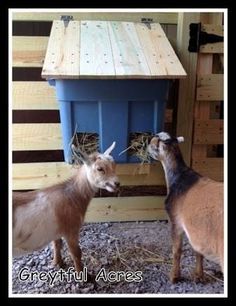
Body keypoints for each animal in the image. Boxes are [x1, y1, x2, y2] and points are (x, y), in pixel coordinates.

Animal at [12, 142, 120, 274]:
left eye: (114, 164)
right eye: (100, 169)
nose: (117, 183)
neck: (72, 196)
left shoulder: (56, 230)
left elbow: (57, 244)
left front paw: (57, 263)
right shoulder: (71, 229)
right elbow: (76, 253)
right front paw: (82, 275)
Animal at [148, 133, 223, 284]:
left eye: (156, 141)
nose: (147, 146)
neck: (179, 178)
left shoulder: (175, 220)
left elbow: (176, 250)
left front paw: (174, 276)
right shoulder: (197, 230)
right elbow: (198, 251)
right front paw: (198, 275)